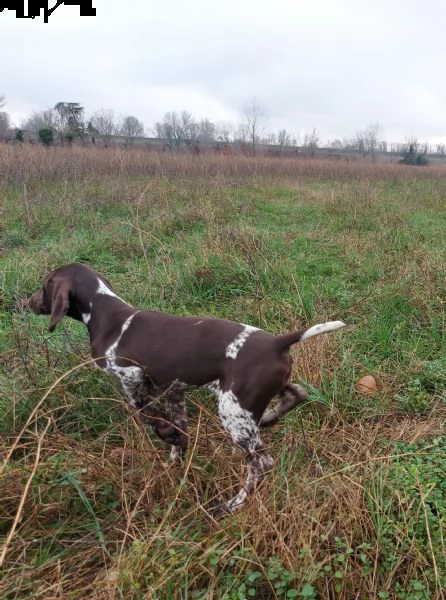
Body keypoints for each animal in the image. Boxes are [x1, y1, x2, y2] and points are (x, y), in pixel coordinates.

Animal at [29, 262, 346, 516]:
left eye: (45, 285)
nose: (28, 302)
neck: (104, 312)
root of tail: (277, 342)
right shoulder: (174, 388)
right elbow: (177, 427)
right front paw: (174, 457)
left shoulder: (131, 374)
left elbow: (145, 413)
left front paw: (166, 434)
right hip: (256, 393)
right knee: (297, 394)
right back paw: (267, 417)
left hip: (232, 409)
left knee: (261, 464)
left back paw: (232, 504)